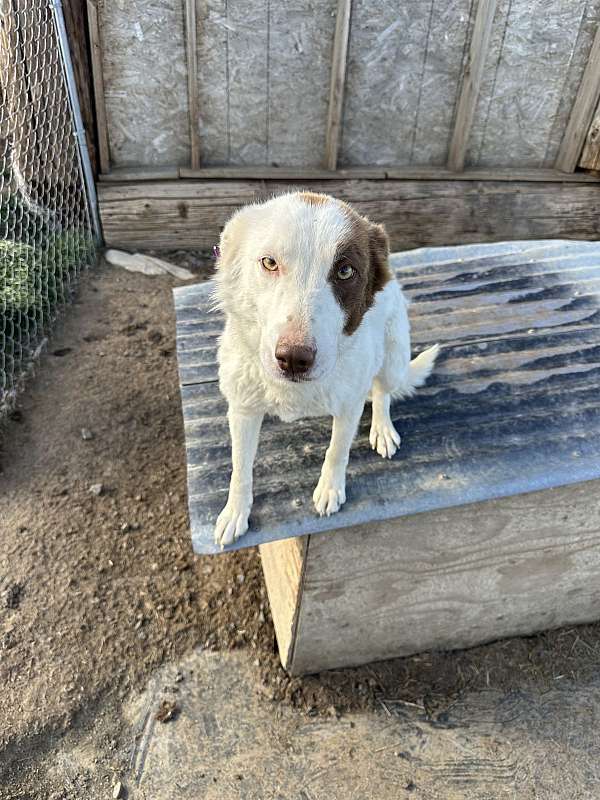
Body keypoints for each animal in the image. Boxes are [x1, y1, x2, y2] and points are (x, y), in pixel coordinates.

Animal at [213, 191, 438, 548]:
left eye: (345, 271)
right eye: (269, 263)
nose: (293, 358)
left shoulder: (348, 407)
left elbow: (336, 452)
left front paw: (330, 489)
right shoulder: (242, 410)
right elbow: (240, 468)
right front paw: (235, 512)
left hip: (393, 356)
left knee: (383, 392)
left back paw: (382, 427)